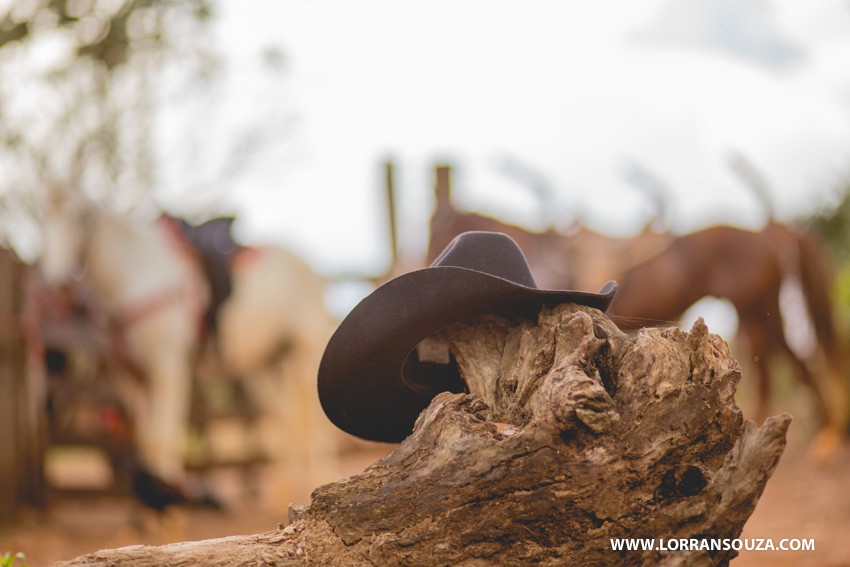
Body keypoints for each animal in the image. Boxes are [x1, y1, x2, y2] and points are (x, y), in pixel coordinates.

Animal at [39, 193, 338, 504]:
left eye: (78, 219)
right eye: (42, 219)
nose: (55, 281)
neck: (135, 274)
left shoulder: (168, 365)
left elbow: (163, 439)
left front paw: (171, 500)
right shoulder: (129, 377)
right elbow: (147, 442)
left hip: (305, 356)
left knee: (313, 429)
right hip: (264, 368)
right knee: (289, 426)